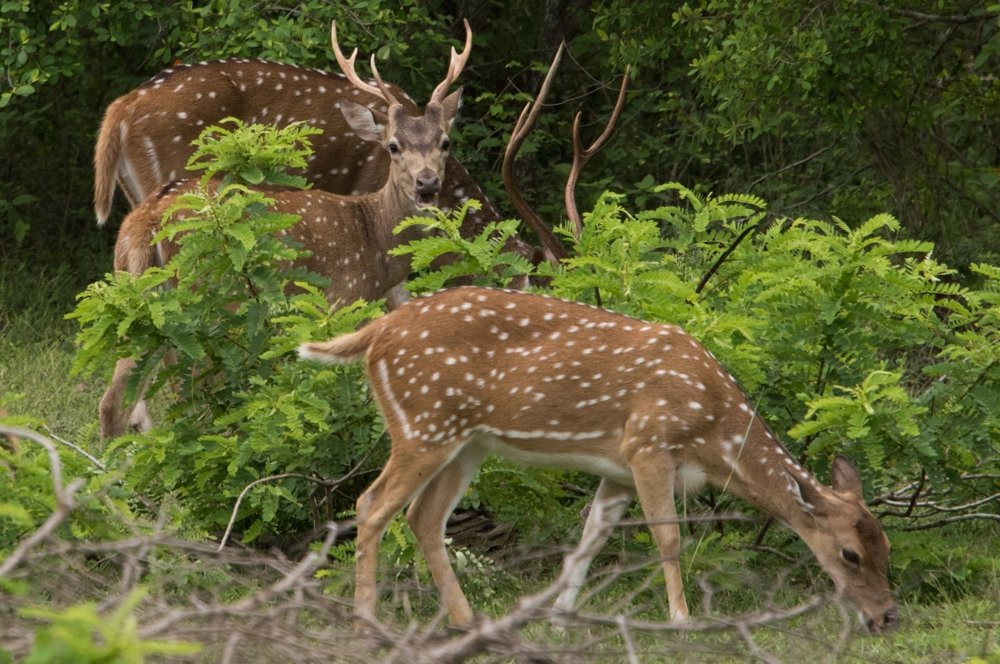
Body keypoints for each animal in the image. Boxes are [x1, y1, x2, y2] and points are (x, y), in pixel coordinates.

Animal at [99, 20, 474, 438]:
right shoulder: (336, 299)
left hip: (138, 297)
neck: (372, 235)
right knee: (191, 392)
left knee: (115, 399)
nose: (427, 183)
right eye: (393, 146)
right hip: (203, 301)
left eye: (445, 142)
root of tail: (145, 221)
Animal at [296, 286, 900, 632]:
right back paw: (367, 624)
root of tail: (376, 331)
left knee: (423, 517)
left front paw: (561, 618)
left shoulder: (619, 472)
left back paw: (469, 623)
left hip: (467, 442)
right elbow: (669, 537)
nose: (888, 616)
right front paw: (682, 621)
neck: (714, 433)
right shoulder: (649, 443)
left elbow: (590, 538)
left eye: (886, 547)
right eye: (849, 554)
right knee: (372, 504)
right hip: (425, 424)